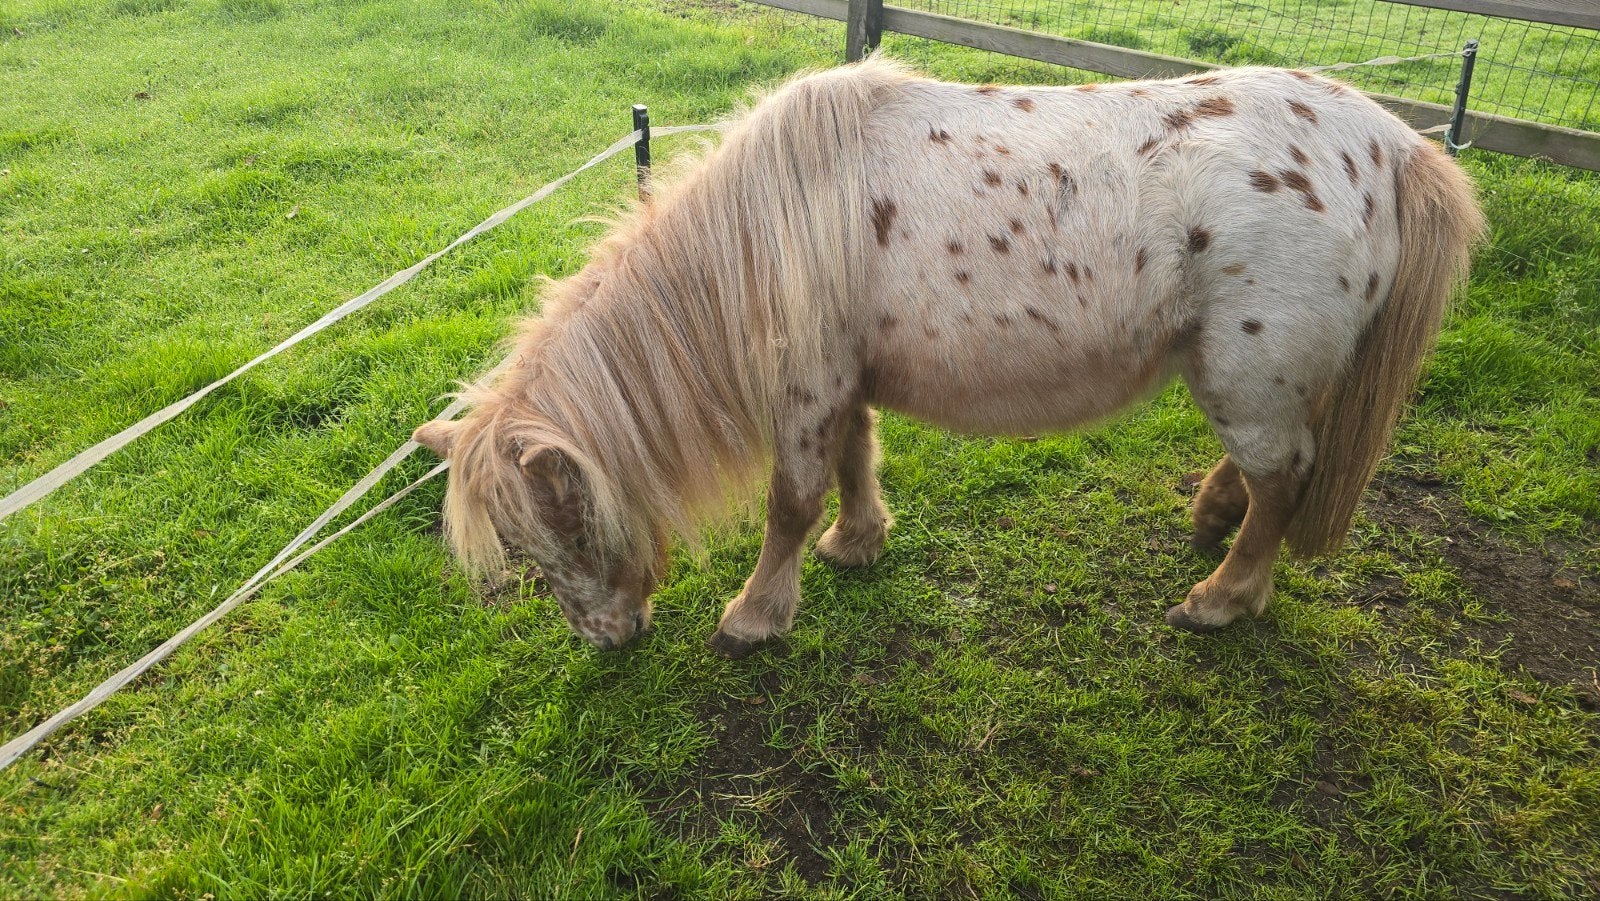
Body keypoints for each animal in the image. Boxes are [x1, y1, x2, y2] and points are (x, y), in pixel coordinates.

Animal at [412, 57, 1483, 657]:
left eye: (570, 529)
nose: (609, 643)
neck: (766, 232)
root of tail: (1395, 146)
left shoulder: (806, 388)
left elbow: (788, 502)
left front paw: (756, 616)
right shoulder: (841, 380)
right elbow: (854, 461)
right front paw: (859, 542)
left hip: (1249, 379)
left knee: (1284, 479)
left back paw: (1222, 598)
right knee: (1271, 472)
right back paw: (1211, 517)